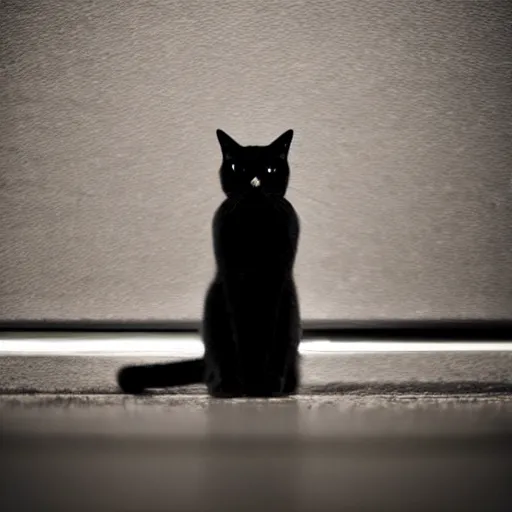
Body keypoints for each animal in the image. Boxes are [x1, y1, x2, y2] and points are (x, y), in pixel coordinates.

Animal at [118, 130, 302, 398]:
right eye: (238, 168)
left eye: (269, 169)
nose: (255, 182)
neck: (254, 228)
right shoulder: (233, 281)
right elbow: (243, 337)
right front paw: (246, 386)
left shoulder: (275, 283)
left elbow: (264, 336)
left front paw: (261, 386)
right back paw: (225, 385)